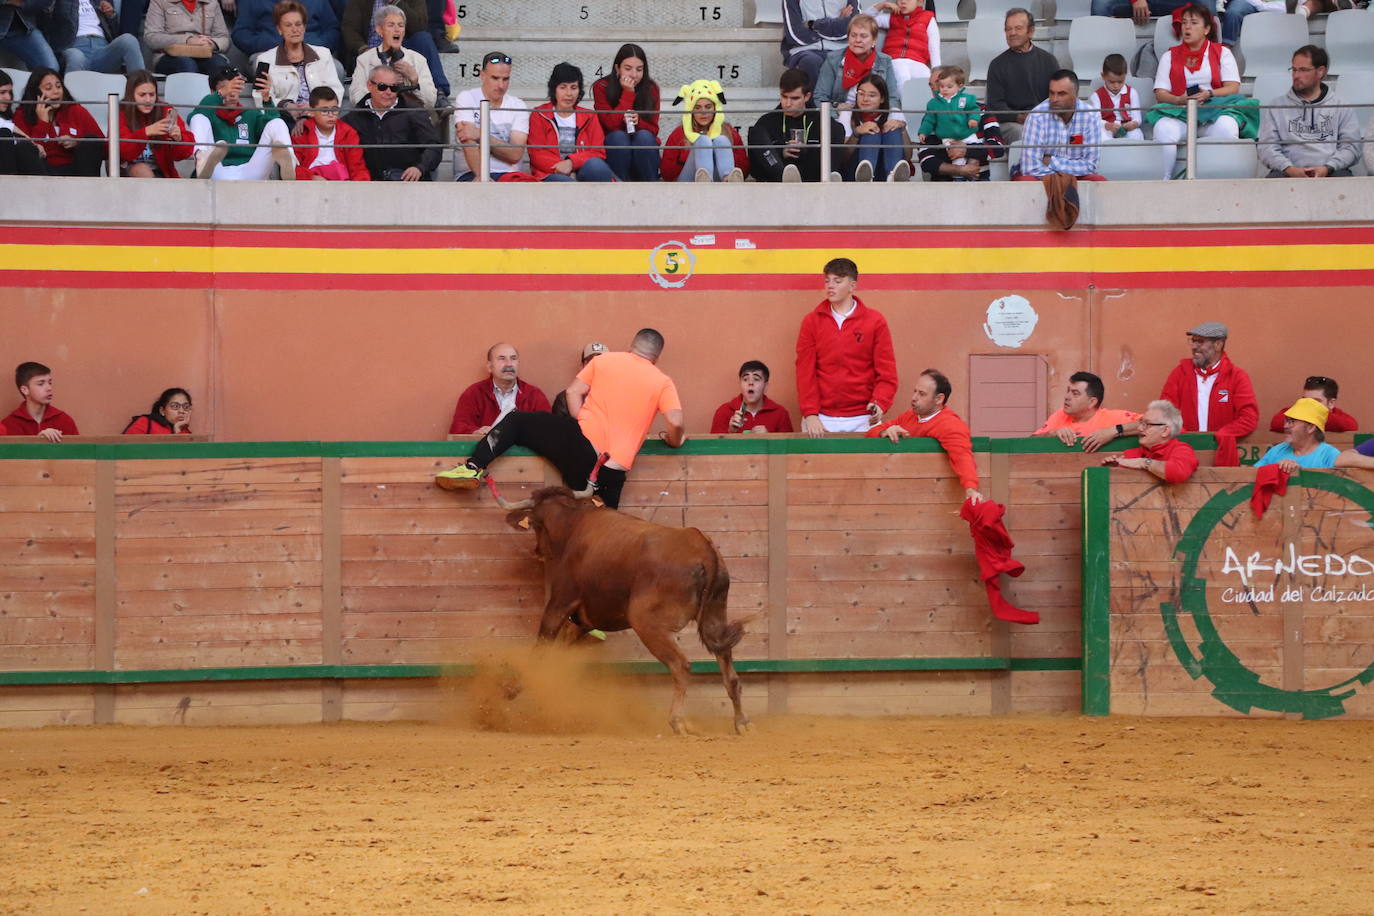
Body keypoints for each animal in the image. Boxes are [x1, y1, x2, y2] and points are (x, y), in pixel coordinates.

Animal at [497, 486, 752, 736]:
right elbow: (559, 647)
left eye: (537, 525)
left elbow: (542, 644)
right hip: (715, 618)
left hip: (647, 624)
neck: (571, 525)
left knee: (680, 665)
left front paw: (512, 688)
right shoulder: (585, 621)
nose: (537, 551)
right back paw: (741, 722)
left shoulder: (560, 602)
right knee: (729, 671)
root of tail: (704, 550)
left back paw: (677, 721)